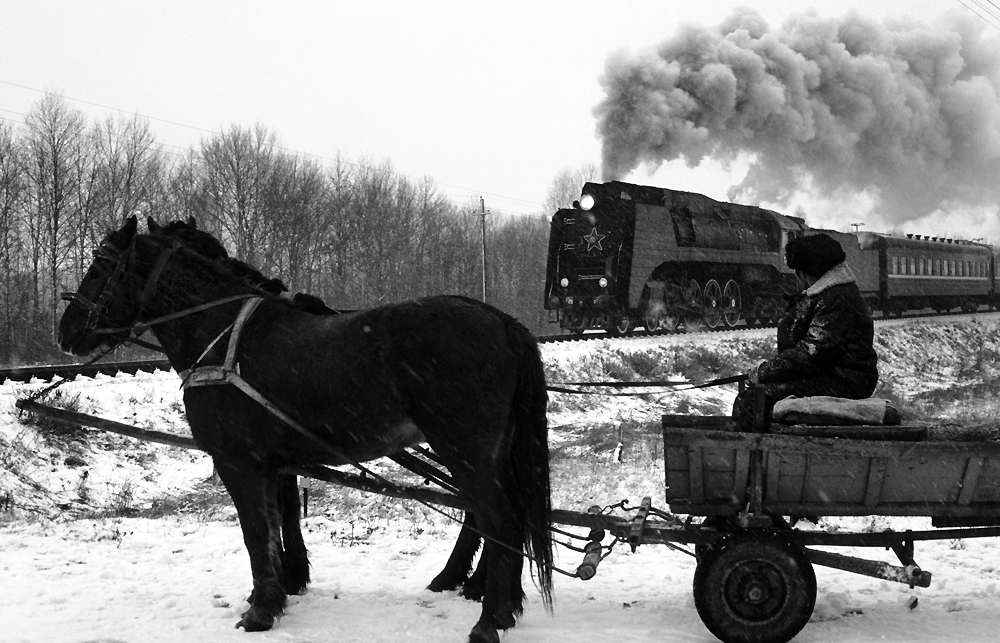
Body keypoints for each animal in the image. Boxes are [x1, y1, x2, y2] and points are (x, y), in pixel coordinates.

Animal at [58, 218, 556, 643]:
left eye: (101, 263)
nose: (66, 332)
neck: (224, 333)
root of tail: (502, 322)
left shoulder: (239, 462)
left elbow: (256, 532)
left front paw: (261, 610)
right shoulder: (275, 463)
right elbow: (284, 520)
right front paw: (286, 586)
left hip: (464, 447)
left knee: (498, 518)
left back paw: (489, 617)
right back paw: (489, 599)